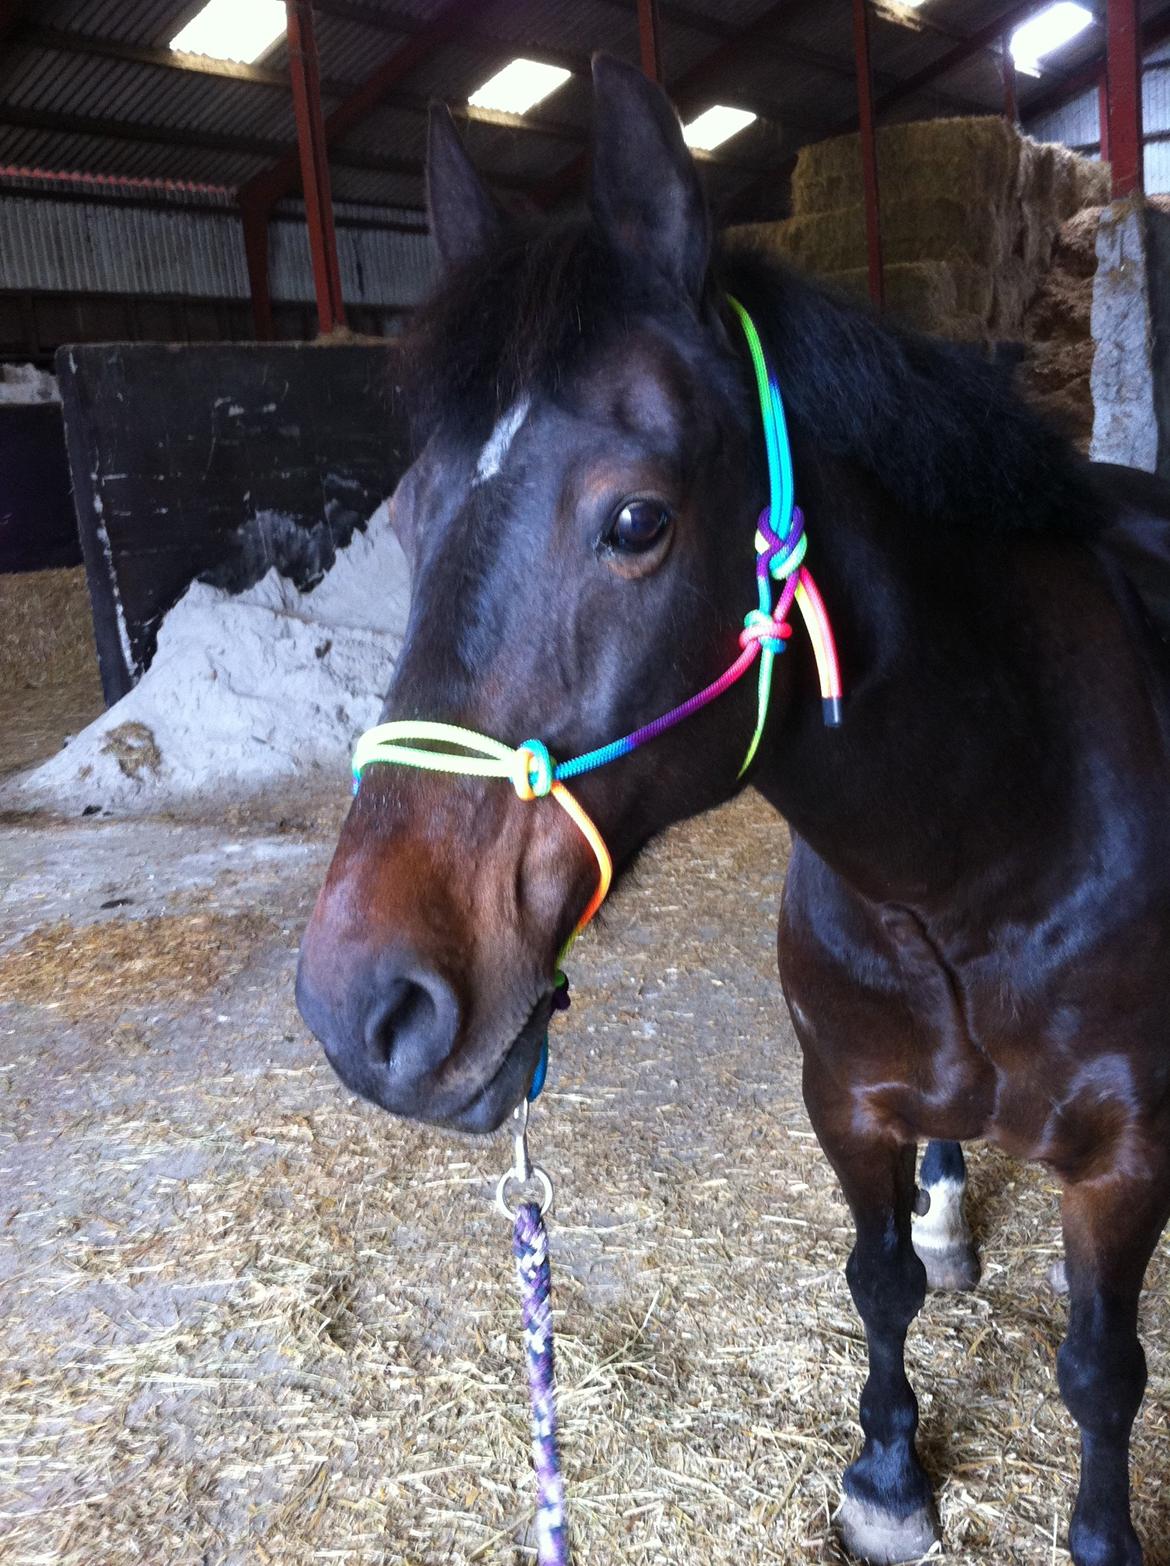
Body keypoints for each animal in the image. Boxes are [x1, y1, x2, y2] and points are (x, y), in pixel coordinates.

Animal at [299, 57, 1170, 1566]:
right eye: (408, 516)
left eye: (638, 520)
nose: (364, 1007)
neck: (980, 848)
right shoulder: (846, 1099)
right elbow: (878, 1283)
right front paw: (890, 1472)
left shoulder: (1124, 1164)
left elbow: (1098, 1368)